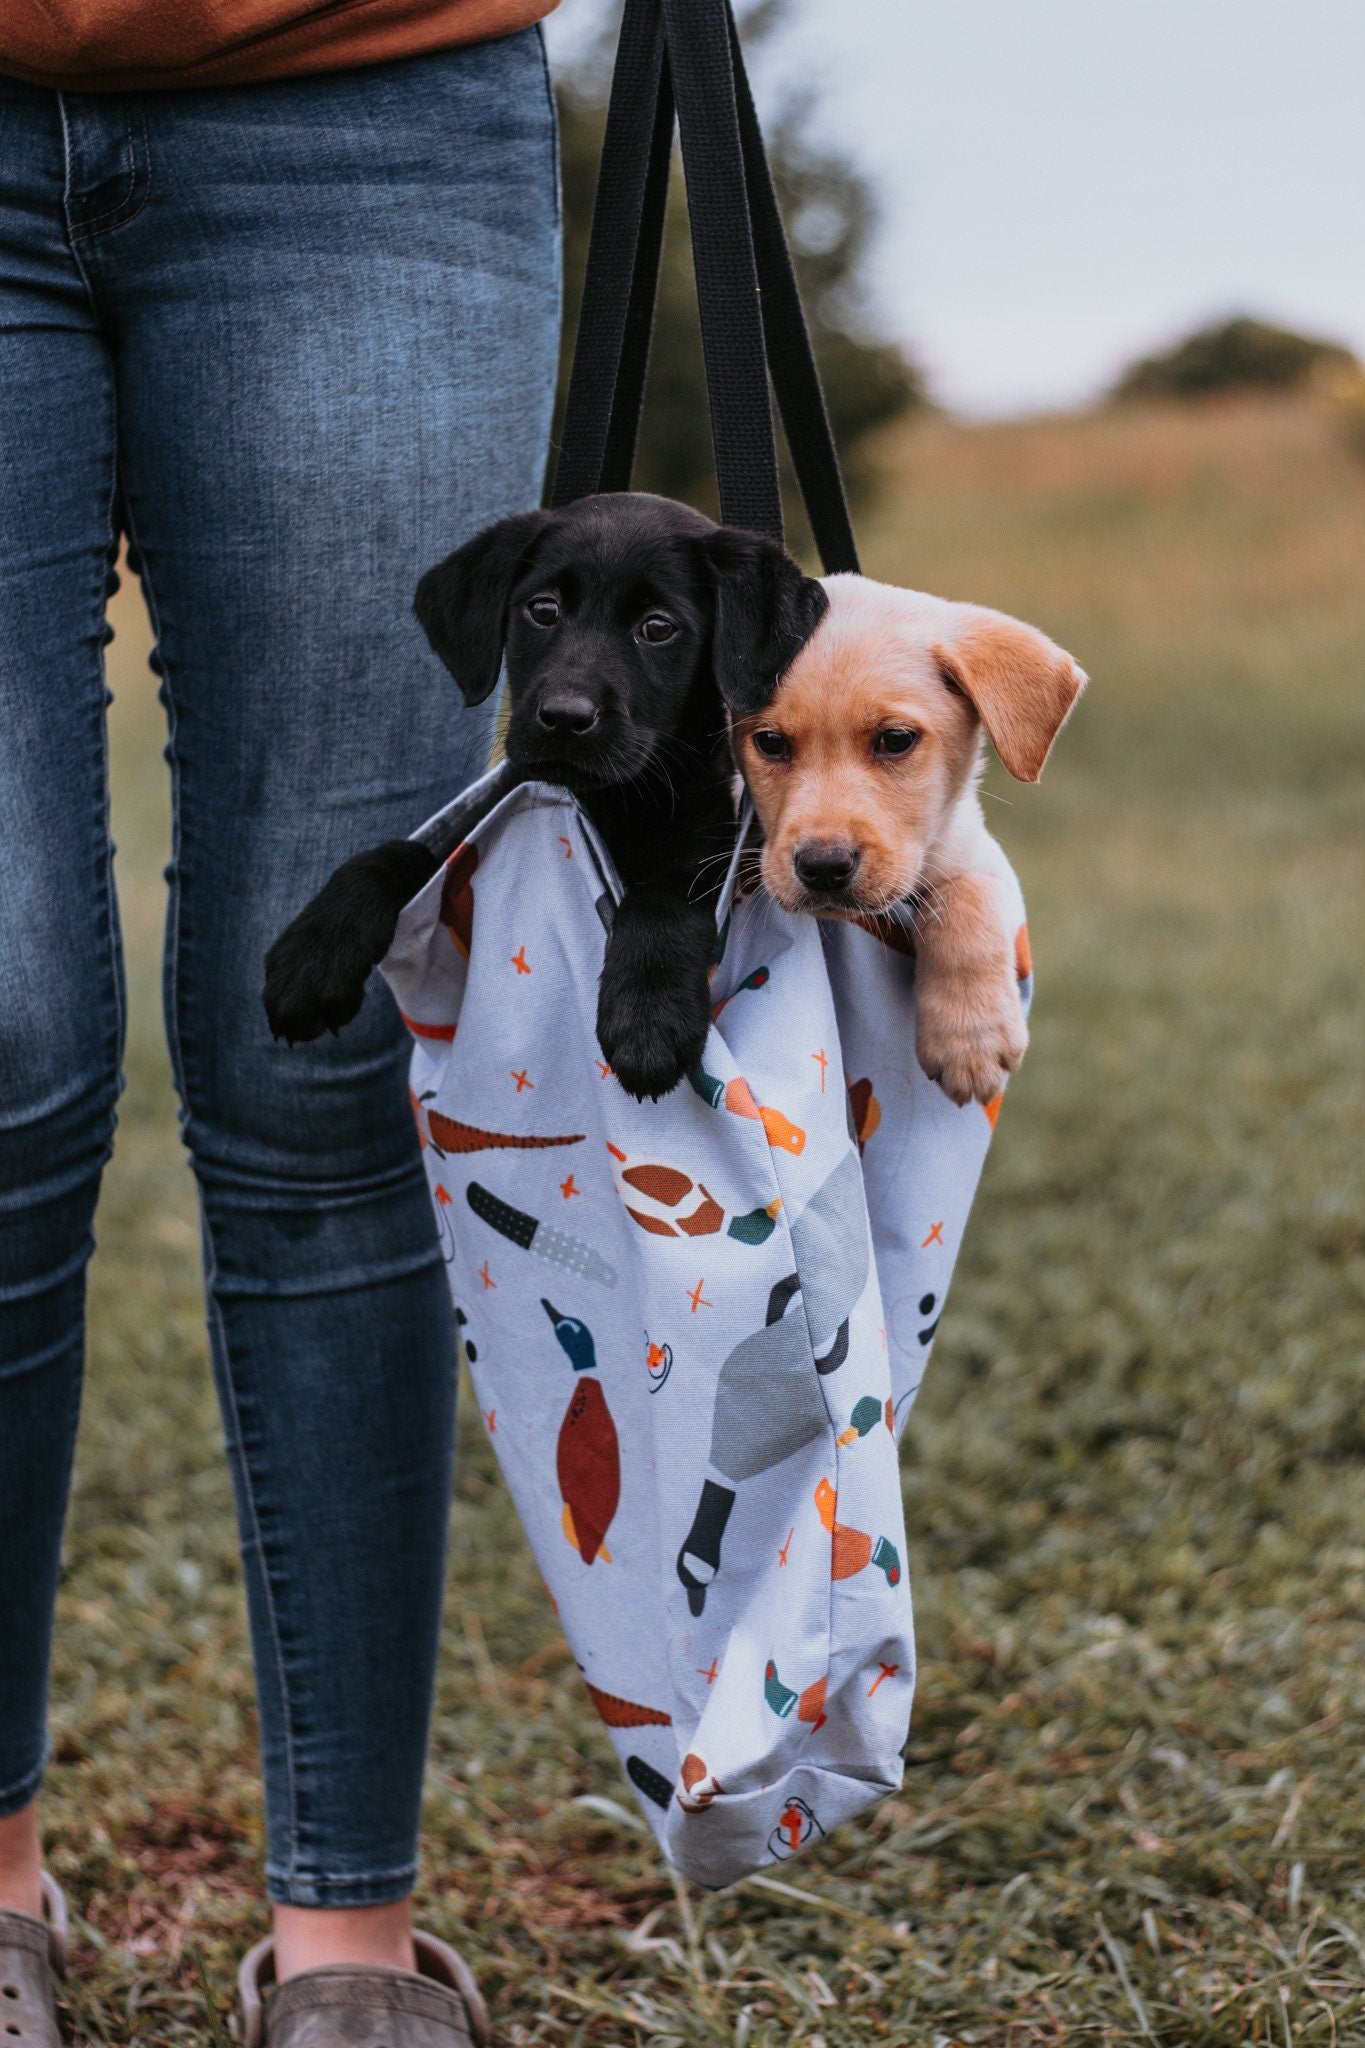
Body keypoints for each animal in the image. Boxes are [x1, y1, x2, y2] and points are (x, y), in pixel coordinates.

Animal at [261, 495, 826, 1105]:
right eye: (543, 609)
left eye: (657, 628)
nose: (564, 717)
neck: (614, 802)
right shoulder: (485, 808)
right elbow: (393, 855)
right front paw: (312, 956)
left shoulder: (703, 851)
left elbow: (660, 900)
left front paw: (647, 1019)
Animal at [732, 577, 1080, 1114]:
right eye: (770, 742)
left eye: (895, 739)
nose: (824, 867)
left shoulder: (974, 850)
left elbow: (971, 902)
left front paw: (971, 1040)